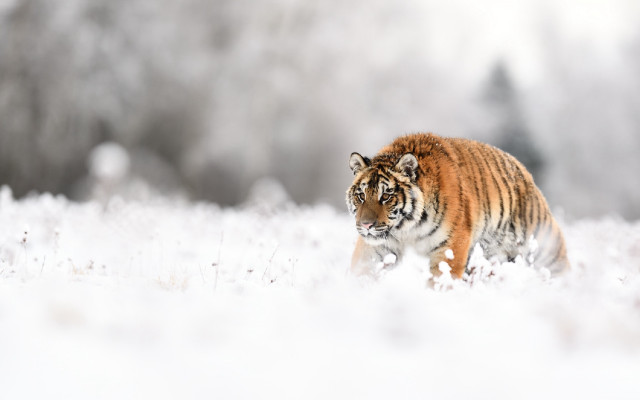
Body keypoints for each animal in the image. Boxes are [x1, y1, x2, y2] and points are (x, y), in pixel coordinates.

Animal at [346, 133, 569, 279]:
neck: (406, 229)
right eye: (361, 195)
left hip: (544, 246)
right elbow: (362, 270)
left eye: (386, 196)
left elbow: (442, 278)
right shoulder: (376, 248)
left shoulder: (451, 244)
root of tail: (524, 171)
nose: (365, 225)